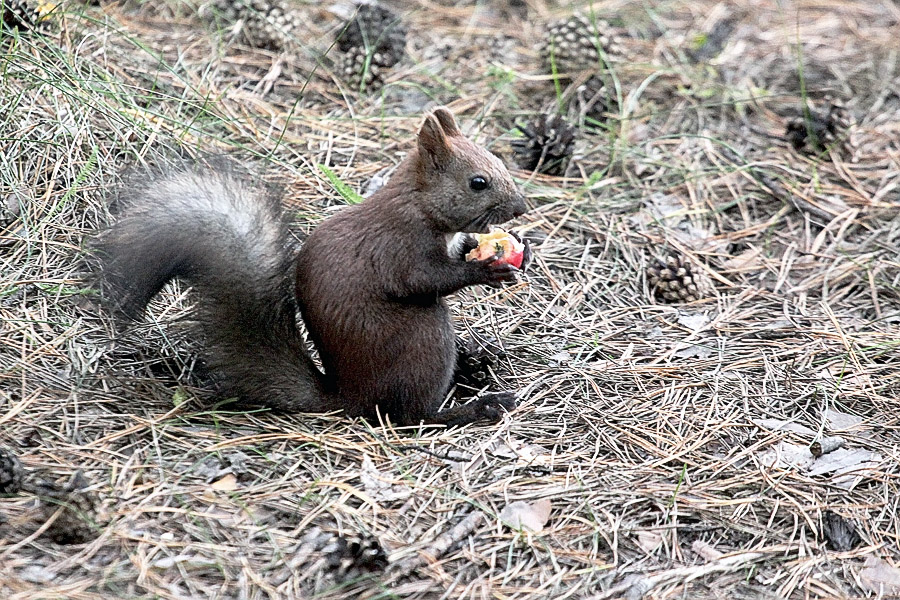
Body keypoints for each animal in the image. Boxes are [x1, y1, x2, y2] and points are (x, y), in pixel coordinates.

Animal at [96, 108, 536, 426]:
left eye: (499, 160)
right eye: (477, 182)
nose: (521, 208)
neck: (418, 204)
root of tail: (347, 397)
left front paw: (520, 249)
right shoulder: (398, 246)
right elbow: (422, 280)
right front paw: (486, 271)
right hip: (424, 342)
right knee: (408, 416)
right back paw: (472, 409)